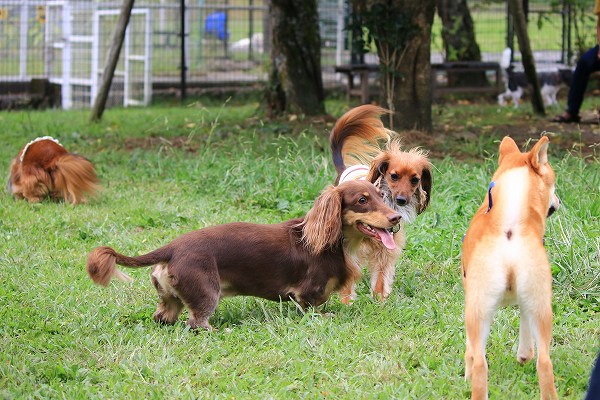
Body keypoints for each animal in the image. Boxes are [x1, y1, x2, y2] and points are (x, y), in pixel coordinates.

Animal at [86, 180, 400, 330]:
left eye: (380, 196)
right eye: (362, 200)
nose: (396, 218)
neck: (334, 242)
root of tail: (172, 247)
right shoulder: (307, 293)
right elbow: (315, 309)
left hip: (170, 300)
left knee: (164, 318)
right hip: (206, 291)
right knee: (196, 324)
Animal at [328, 104, 432, 302]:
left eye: (415, 180)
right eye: (394, 176)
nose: (401, 200)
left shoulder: (386, 249)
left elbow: (381, 278)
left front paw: (378, 301)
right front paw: (346, 301)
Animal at [462, 135, 560, 400]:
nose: (558, 201)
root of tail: (509, 230)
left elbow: (468, 350)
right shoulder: (527, 302)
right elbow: (524, 325)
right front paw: (525, 354)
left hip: (477, 310)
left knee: (480, 363)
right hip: (541, 305)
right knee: (545, 363)